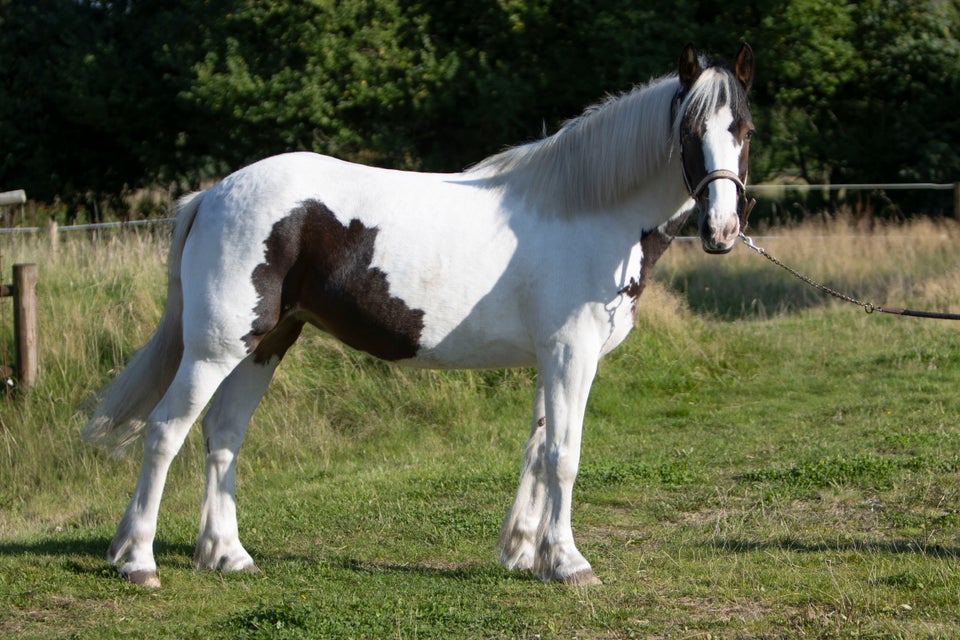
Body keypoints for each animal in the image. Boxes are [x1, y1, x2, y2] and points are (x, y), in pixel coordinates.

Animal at [84, 42, 756, 588]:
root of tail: (213, 194)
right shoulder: (572, 353)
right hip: (216, 347)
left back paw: (226, 555)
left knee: (223, 436)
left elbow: (537, 450)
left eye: (743, 128)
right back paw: (138, 560)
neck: (586, 210)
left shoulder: (551, 357)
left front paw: (523, 552)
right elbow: (564, 455)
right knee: (165, 432)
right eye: (690, 127)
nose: (722, 229)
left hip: (265, 343)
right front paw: (568, 562)